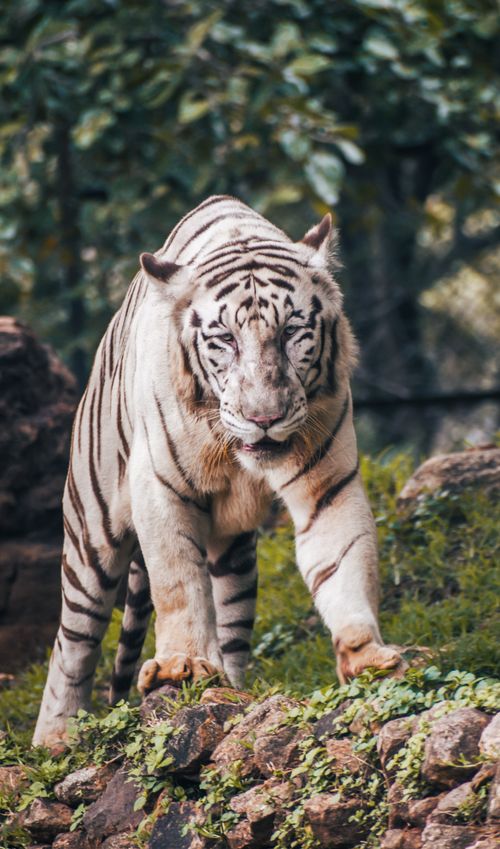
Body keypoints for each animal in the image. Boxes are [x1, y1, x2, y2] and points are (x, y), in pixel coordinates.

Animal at [33, 195, 402, 748]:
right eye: (224, 339)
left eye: (292, 333)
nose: (264, 417)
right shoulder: (159, 487)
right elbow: (176, 581)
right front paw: (181, 664)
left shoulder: (328, 484)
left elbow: (344, 559)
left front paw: (367, 656)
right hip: (89, 534)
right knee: (72, 642)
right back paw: (55, 738)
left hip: (234, 551)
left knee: (229, 609)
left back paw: (229, 686)